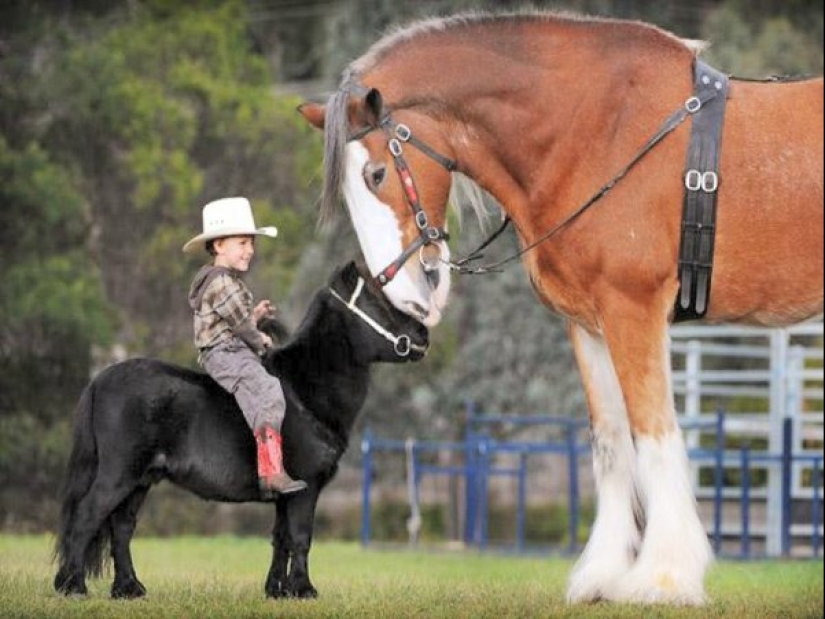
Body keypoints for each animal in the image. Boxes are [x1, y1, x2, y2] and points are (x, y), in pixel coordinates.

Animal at [53, 261, 429, 600]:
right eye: (378, 304)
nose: (423, 335)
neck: (304, 391)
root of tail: (100, 379)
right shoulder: (307, 488)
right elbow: (301, 537)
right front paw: (304, 589)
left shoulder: (287, 492)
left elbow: (281, 538)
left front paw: (277, 590)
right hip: (119, 475)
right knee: (87, 517)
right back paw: (74, 587)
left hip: (140, 480)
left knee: (121, 528)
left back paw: (128, 589)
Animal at [298, 11, 823, 605]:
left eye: (377, 174)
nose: (406, 292)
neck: (597, 130)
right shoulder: (589, 325)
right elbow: (612, 444)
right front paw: (604, 574)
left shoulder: (633, 310)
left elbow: (654, 433)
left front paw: (664, 577)